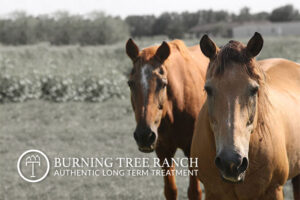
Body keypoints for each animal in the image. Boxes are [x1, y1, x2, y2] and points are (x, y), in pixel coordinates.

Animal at [125, 38, 209, 199]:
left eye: (163, 84)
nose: (144, 136)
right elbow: (170, 190)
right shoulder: (163, 151)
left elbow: (195, 192)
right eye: (130, 83)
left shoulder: (191, 151)